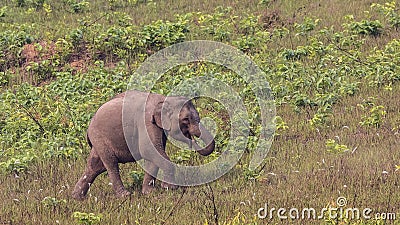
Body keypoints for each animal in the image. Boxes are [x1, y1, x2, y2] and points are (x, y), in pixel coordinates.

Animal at [72, 90, 216, 200]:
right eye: (185, 120)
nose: (193, 140)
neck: (164, 99)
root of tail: (88, 127)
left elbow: (154, 155)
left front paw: (149, 192)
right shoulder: (146, 122)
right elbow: (148, 150)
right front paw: (170, 188)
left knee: (95, 167)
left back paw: (77, 197)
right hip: (100, 137)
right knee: (111, 164)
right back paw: (125, 195)